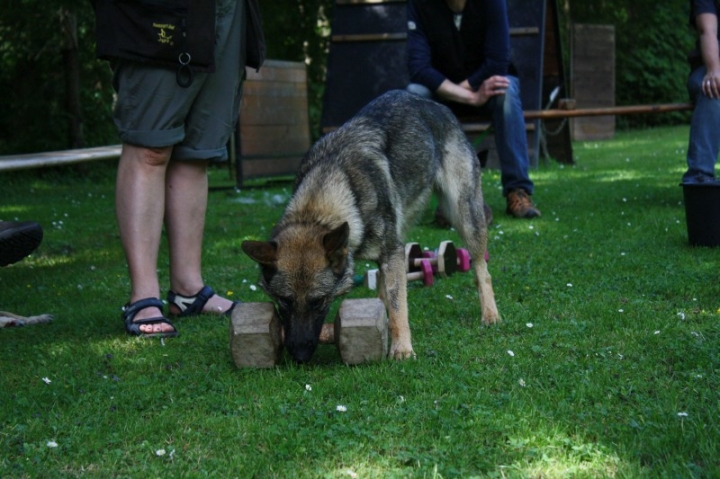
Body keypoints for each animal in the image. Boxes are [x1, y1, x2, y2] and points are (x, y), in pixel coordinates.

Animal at [242, 90, 500, 364]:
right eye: (284, 301)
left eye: (319, 301)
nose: (299, 356)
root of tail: (439, 106)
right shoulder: (387, 257)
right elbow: (386, 297)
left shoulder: (392, 253)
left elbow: (397, 305)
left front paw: (402, 348)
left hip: (465, 216)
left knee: (481, 268)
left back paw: (490, 314)